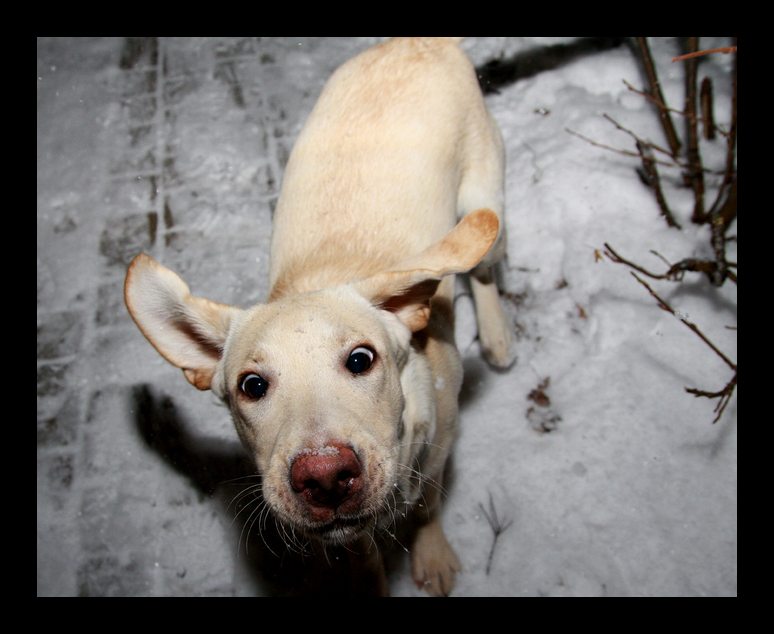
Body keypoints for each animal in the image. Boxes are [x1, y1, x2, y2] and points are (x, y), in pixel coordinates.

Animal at [124, 38, 520, 592]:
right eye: (251, 386)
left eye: (361, 359)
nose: (325, 476)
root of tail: (420, 43)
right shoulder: (344, 534)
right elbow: (360, 552)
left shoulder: (442, 447)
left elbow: (427, 507)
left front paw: (433, 553)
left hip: (484, 200)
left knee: (483, 266)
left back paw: (498, 333)